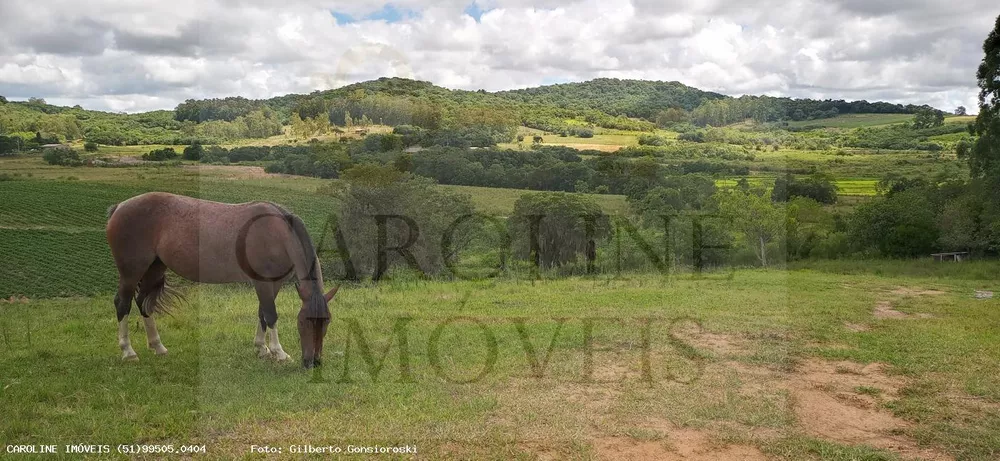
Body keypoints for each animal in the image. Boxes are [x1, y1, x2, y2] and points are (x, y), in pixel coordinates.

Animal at [106, 192, 340, 368]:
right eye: (303, 322)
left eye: (327, 321)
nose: (313, 362)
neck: (277, 233)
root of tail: (119, 207)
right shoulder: (262, 283)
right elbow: (271, 315)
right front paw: (279, 352)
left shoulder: (275, 283)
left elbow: (262, 314)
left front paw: (261, 349)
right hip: (131, 272)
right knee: (123, 304)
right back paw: (128, 352)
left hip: (154, 268)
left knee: (144, 303)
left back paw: (158, 347)